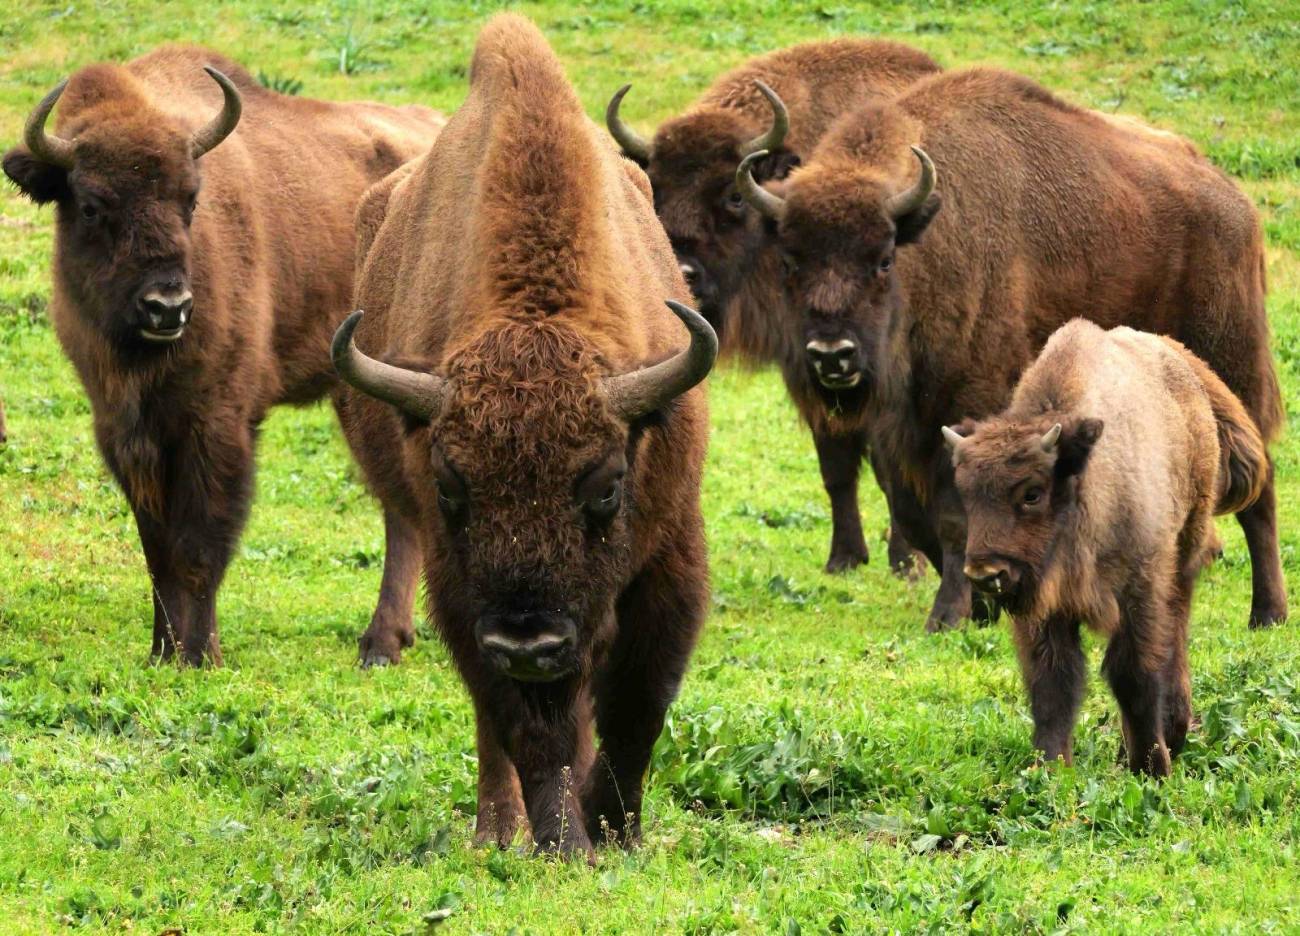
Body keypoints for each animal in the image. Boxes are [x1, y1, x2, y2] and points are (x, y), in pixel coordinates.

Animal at [2, 47, 444, 665]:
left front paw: (200, 656)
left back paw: (379, 644)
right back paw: (387, 641)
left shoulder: (218, 424)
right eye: (90, 206)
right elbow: (157, 552)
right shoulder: (126, 433)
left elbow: (200, 547)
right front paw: (161, 653)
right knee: (398, 507)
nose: (167, 307)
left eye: (190, 200)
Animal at [330, 12, 717, 857]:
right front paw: (563, 840)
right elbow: (526, 728)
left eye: (606, 486)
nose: (529, 644)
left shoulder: (669, 553)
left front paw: (614, 830)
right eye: (452, 486)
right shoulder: (462, 589)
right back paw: (494, 830)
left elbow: (637, 704)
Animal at [603, 41, 941, 577]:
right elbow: (835, 466)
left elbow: (888, 468)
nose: (684, 272)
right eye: (656, 189)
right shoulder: (807, 369)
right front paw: (844, 558)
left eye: (733, 196)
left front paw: (905, 562)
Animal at [738, 69, 1284, 631]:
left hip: (1234, 374)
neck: (929, 242)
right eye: (789, 260)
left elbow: (956, 519)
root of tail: (1237, 205)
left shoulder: (968, 408)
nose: (832, 356)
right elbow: (917, 514)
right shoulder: (901, 430)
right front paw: (982, 608)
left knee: (1259, 486)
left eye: (884, 259)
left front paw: (949, 616)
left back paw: (1267, 613)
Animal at [946, 322, 1268, 774]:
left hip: (1184, 551)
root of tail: (1184, 361)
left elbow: (1132, 674)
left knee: (1176, 633)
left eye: (1032, 493)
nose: (985, 574)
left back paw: (1172, 732)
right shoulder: (1045, 611)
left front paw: (1152, 767)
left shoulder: (1138, 590)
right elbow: (1052, 683)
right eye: (966, 495)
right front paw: (1050, 769)